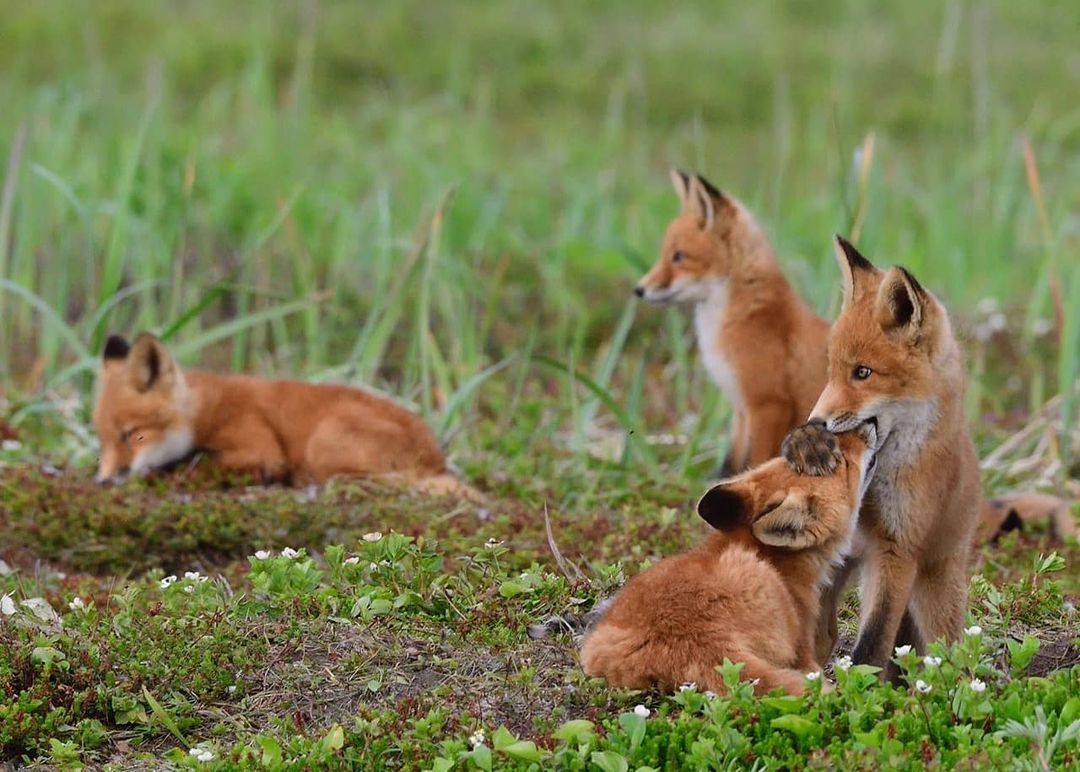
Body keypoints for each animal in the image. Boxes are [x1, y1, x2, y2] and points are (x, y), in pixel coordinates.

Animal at [95, 334, 475, 494]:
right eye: (102, 441)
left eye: (131, 435)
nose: (102, 481)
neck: (204, 414)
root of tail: (437, 457)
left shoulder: (261, 449)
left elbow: (195, 465)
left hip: (323, 442)